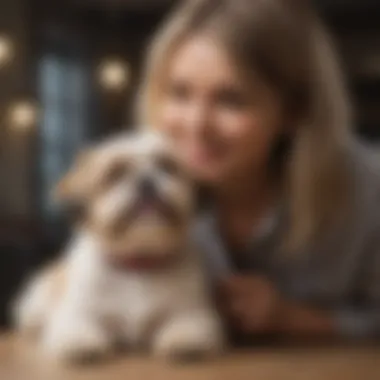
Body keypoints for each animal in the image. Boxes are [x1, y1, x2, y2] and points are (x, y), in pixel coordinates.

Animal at [13, 132, 224, 364]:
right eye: (115, 174)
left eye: (167, 166)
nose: (145, 181)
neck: (138, 264)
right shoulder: (77, 313)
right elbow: (76, 327)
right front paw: (81, 344)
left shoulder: (192, 312)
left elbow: (188, 324)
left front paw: (185, 342)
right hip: (35, 305)